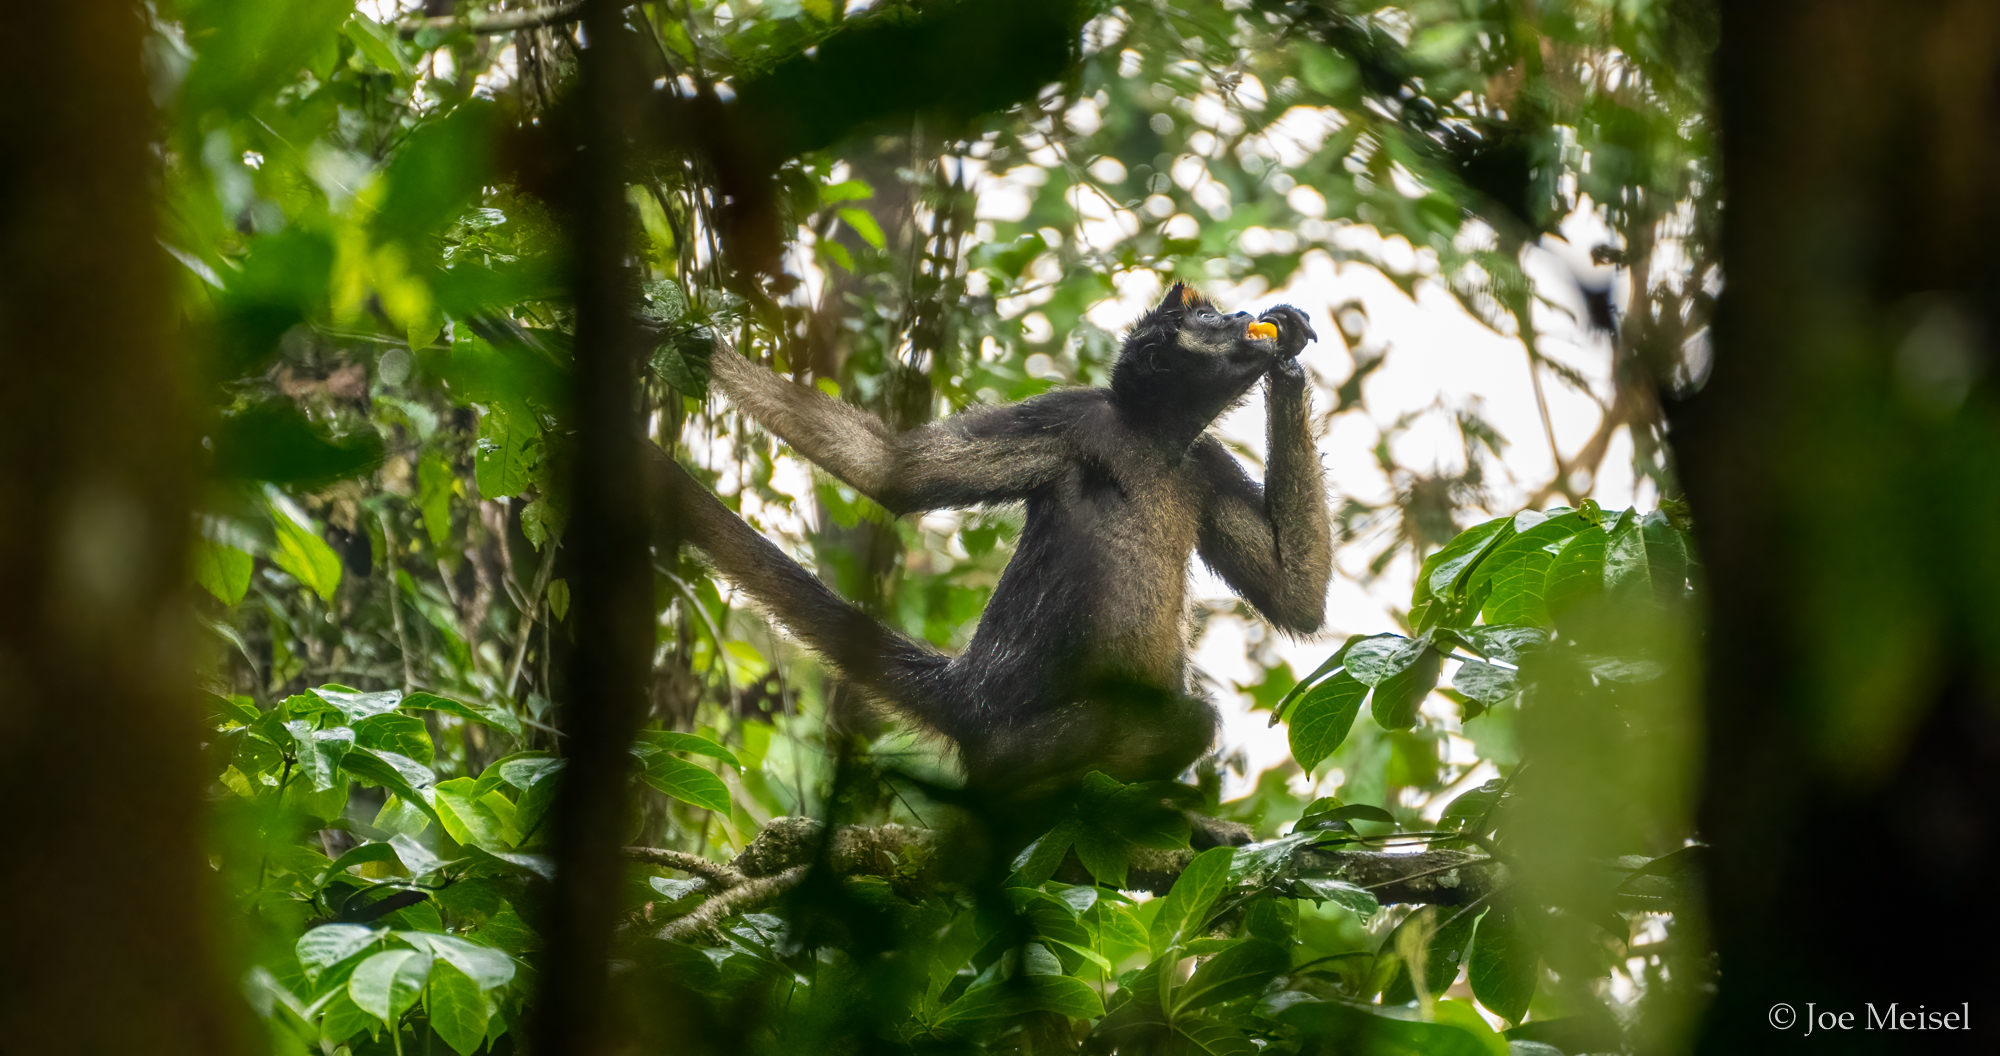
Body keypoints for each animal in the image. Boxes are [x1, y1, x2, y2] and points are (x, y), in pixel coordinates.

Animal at [648, 286, 1328, 824]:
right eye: (1208, 318)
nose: (1240, 315)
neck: (1151, 437)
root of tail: (968, 689)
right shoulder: (1071, 415)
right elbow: (892, 474)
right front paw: (692, 343)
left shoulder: (1203, 459)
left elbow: (1296, 598)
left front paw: (1289, 356)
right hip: (1015, 747)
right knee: (1191, 721)